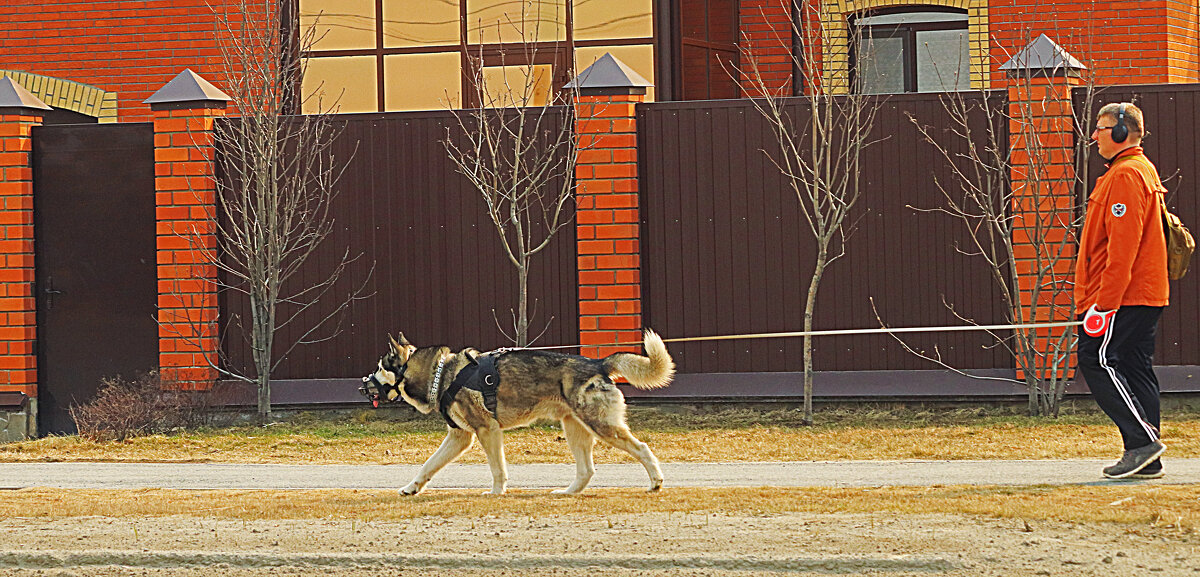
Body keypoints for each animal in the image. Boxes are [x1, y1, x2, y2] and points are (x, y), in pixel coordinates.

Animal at [355, 331, 676, 491]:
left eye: (380, 366)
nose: (362, 385)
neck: (441, 374)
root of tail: (598, 363)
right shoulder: (459, 438)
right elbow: (428, 465)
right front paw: (411, 488)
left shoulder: (487, 432)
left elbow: (498, 469)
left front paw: (496, 494)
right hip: (574, 429)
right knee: (587, 470)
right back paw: (566, 492)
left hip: (601, 426)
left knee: (642, 448)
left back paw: (656, 482)